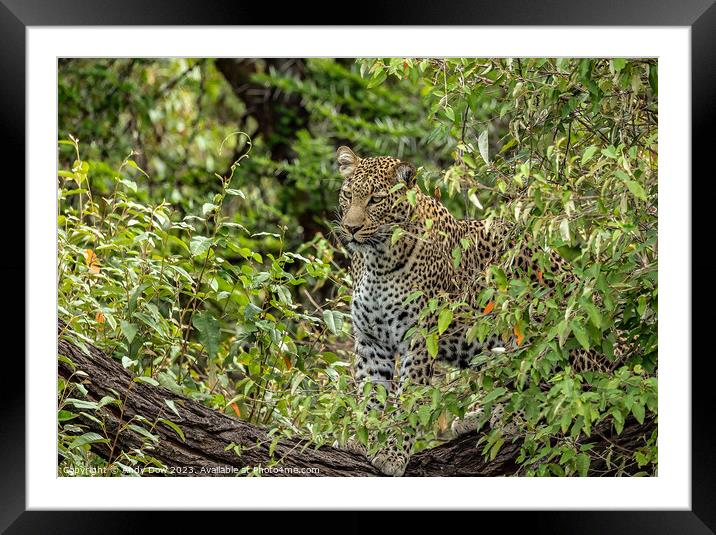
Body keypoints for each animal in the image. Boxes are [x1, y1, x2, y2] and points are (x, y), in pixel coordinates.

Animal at [336, 147, 620, 478]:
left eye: (376, 199)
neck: (377, 261)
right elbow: (368, 396)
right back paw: (476, 416)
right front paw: (360, 439)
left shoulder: (419, 339)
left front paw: (392, 454)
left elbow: (409, 401)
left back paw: (510, 417)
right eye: (348, 194)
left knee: (560, 396)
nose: (350, 228)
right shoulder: (371, 341)